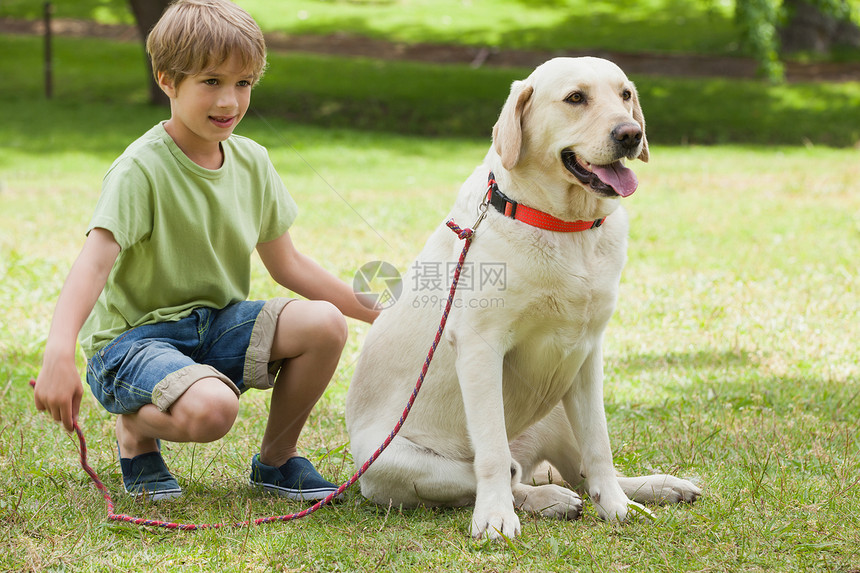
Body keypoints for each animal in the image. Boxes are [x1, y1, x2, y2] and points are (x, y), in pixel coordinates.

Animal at [346, 58, 704, 540]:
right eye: (576, 98)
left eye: (625, 94)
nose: (630, 133)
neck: (565, 225)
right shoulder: (480, 348)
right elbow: (493, 454)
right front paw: (495, 518)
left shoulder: (587, 352)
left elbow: (600, 445)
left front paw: (617, 507)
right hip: (395, 462)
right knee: (507, 475)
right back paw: (547, 499)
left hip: (558, 402)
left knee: (579, 472)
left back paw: (655, 488)